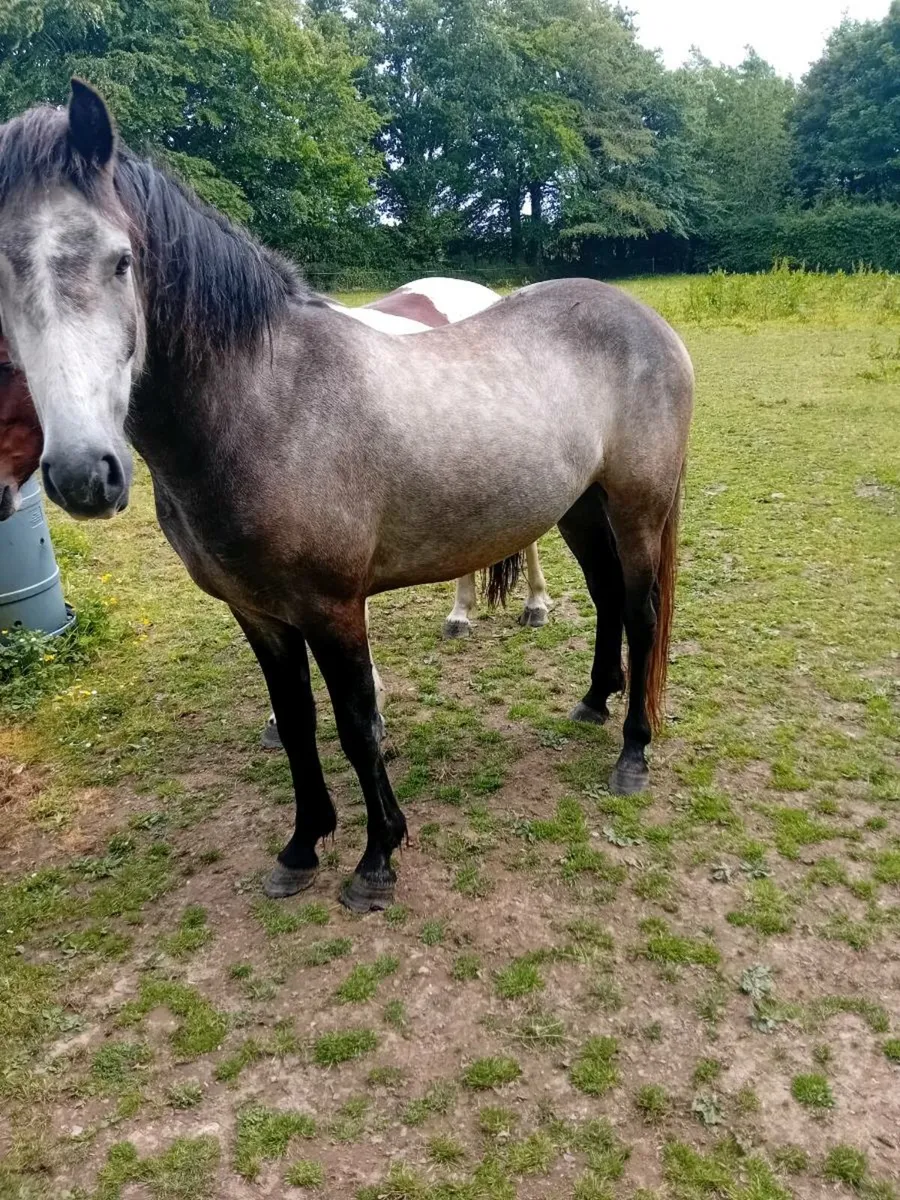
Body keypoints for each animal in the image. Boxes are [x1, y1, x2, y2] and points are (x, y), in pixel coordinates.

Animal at [0, 82, 693, 912]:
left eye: (121, 261)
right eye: (1, 278)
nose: (82, 473)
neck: (264, 401)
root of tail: (647, 320)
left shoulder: (332, 608)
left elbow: (357, 724)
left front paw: (376, 860)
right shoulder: (259, 613)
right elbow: (299, 724)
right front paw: (303, 846)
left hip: (637, 507)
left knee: (643, 612)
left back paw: (633, 753)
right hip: (580, 507)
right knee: (609, 597)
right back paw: (593, 701)